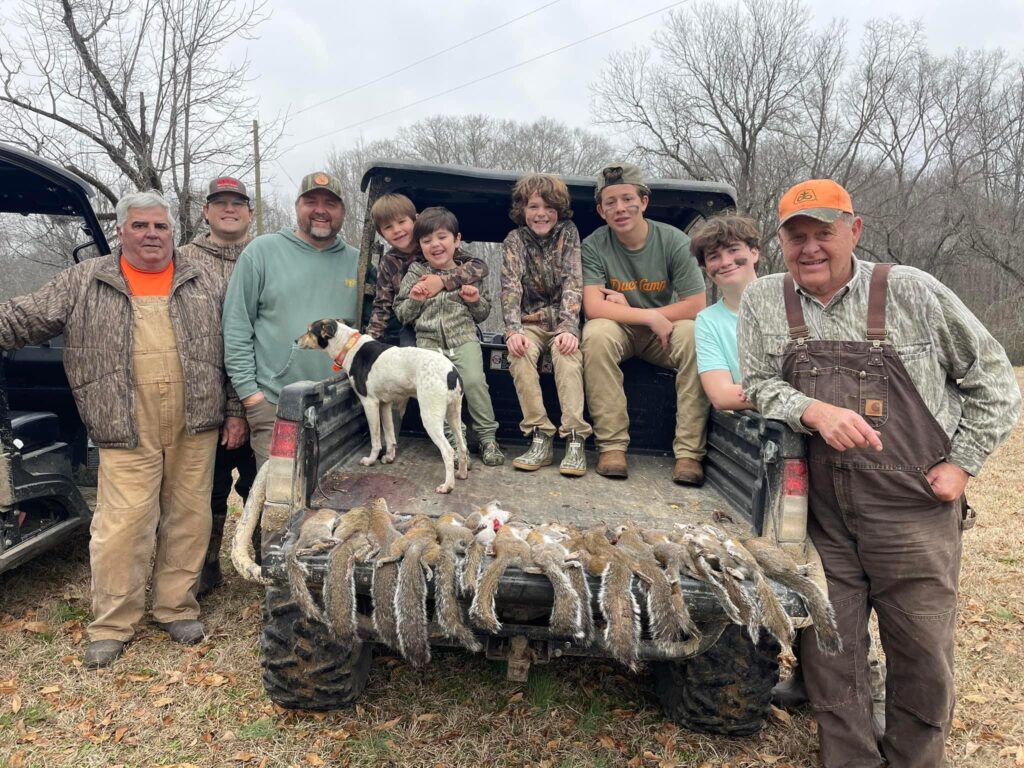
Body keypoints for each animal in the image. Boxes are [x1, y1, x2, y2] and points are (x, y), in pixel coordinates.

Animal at [299, 319, 468, 495]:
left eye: (309, 330)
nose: (296, 341)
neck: (348, 345)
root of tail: (452, 371)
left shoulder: (370, 403)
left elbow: (375, 439)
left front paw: (370, 460)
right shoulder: (385, 404)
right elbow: (389, 435)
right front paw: (389, 457)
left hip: (430, 417)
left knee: (448, 451)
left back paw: (447, 486)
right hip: (454, 415)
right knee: (462, 446)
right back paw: (462, 474)